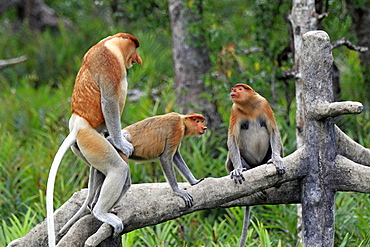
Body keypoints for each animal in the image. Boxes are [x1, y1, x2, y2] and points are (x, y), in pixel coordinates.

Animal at [46, 32, 143, 247]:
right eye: (135, 49)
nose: (138, 59)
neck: (110, 42)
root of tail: (77, 126)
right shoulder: (108, 62)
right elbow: (109, 101)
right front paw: (122, 143)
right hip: (89, 139)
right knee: (118, 169)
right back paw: (100, 211)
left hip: (82, 148)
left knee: (104, 171)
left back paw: (95, 205)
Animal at [59, 112, 207, 235]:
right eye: (197, 120)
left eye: (202, 120)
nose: (204, 127)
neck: (182, 121)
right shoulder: (176, 129)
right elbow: (166, 158)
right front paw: (178, 191)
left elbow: (176, 156)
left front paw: (194, 181)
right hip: (117, 152)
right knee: (122, 176)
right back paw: (100, 211)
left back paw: (97, 205)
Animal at [224, 83, 284, 247]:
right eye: (234, 88)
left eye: (239, 89)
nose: (232, 91)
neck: (248, 106)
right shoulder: (235, 110)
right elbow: (232, 139)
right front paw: (238, 170)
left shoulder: (264, 104)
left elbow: (273, 130)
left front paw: (276, 160)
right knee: (230, 157)